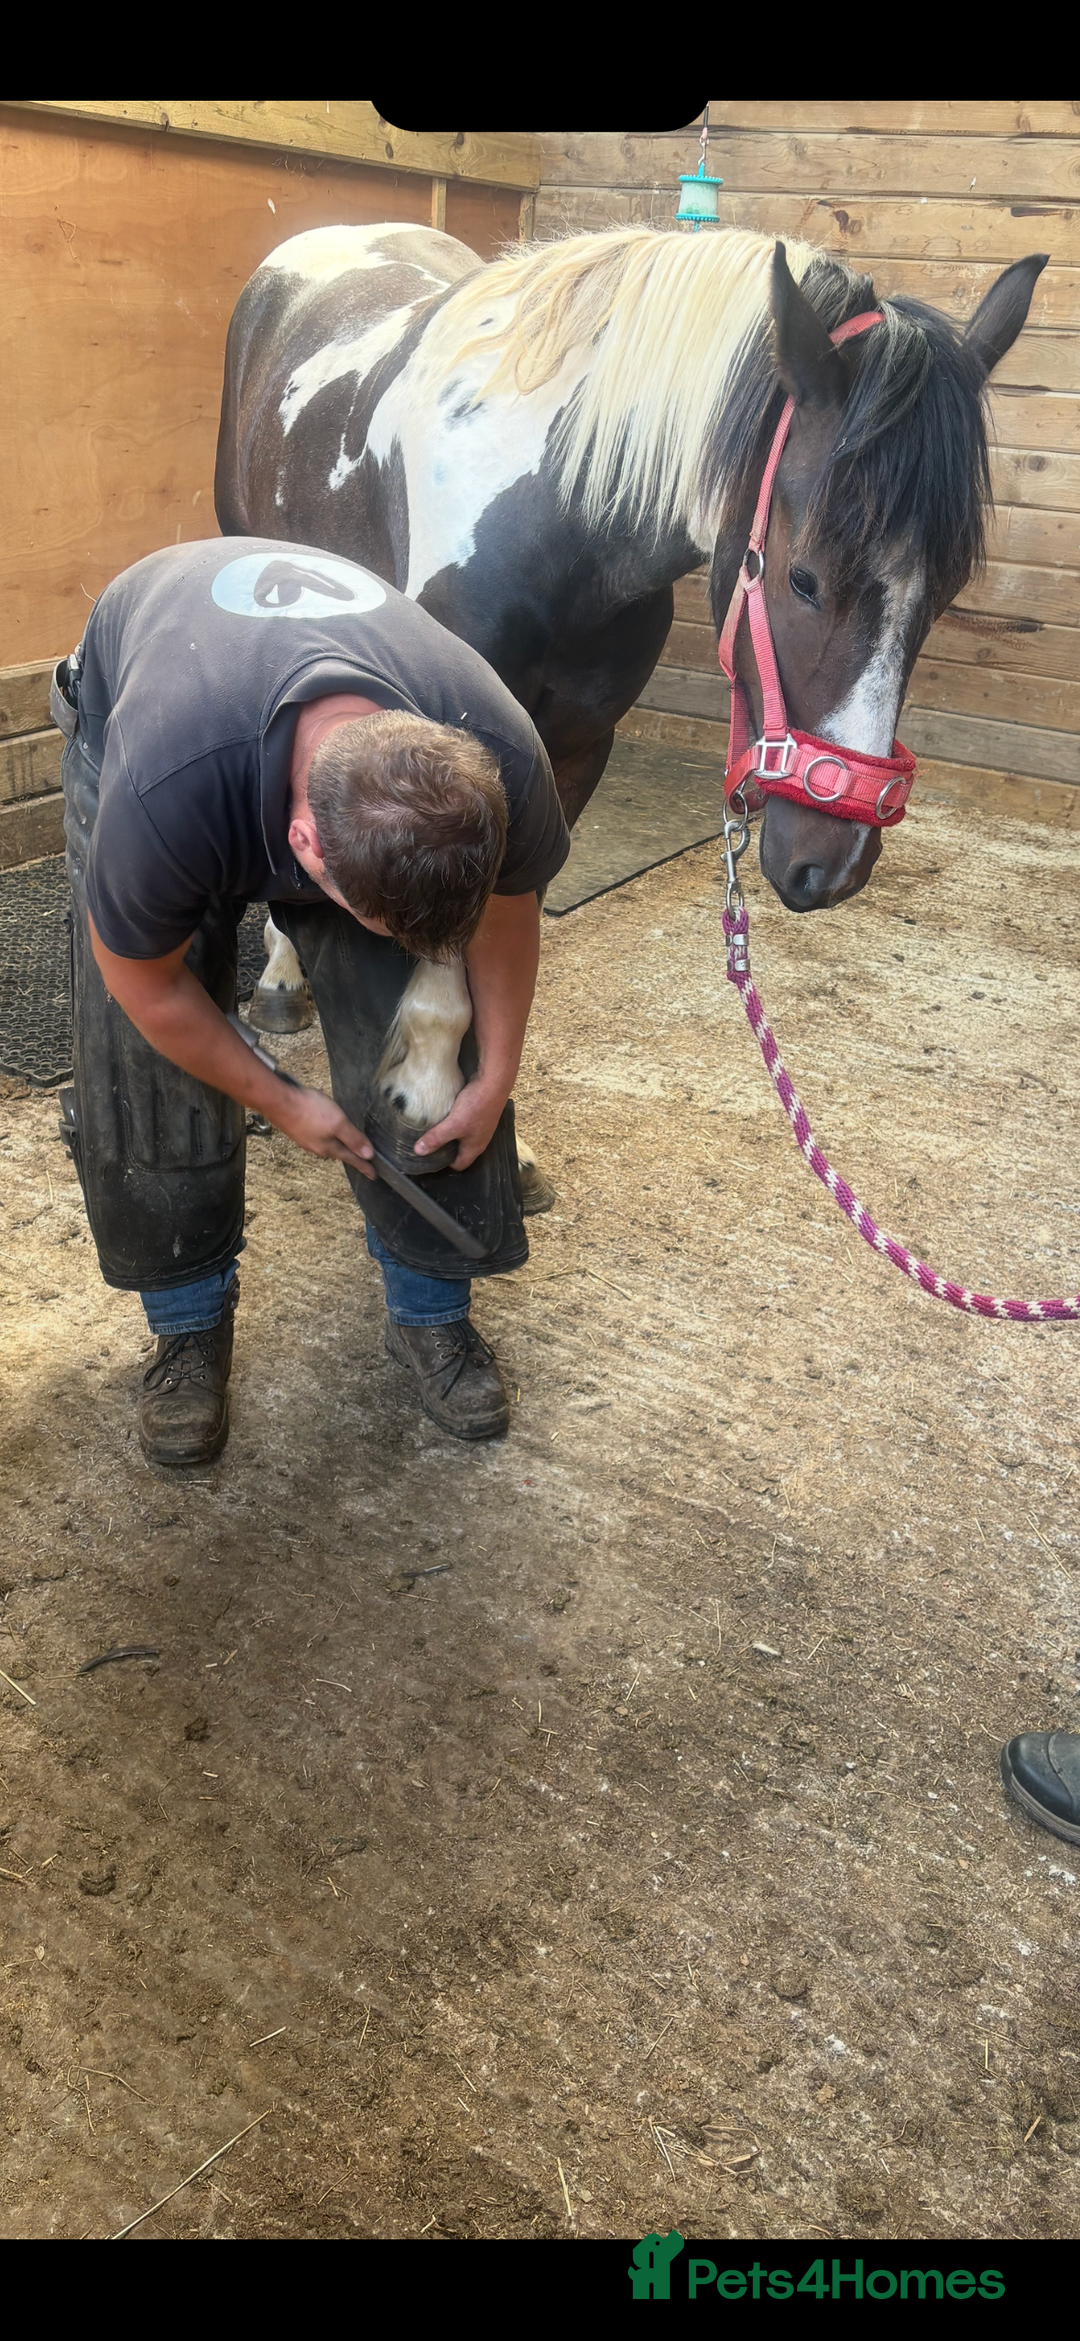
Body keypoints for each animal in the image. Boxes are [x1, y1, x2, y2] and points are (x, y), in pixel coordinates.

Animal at [214, 222, 1045, 1155]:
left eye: (944, 591)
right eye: (803, 579)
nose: (833, 866)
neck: (558, 514)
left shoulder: (573, 753)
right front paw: (424, 1096)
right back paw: (281, 976)